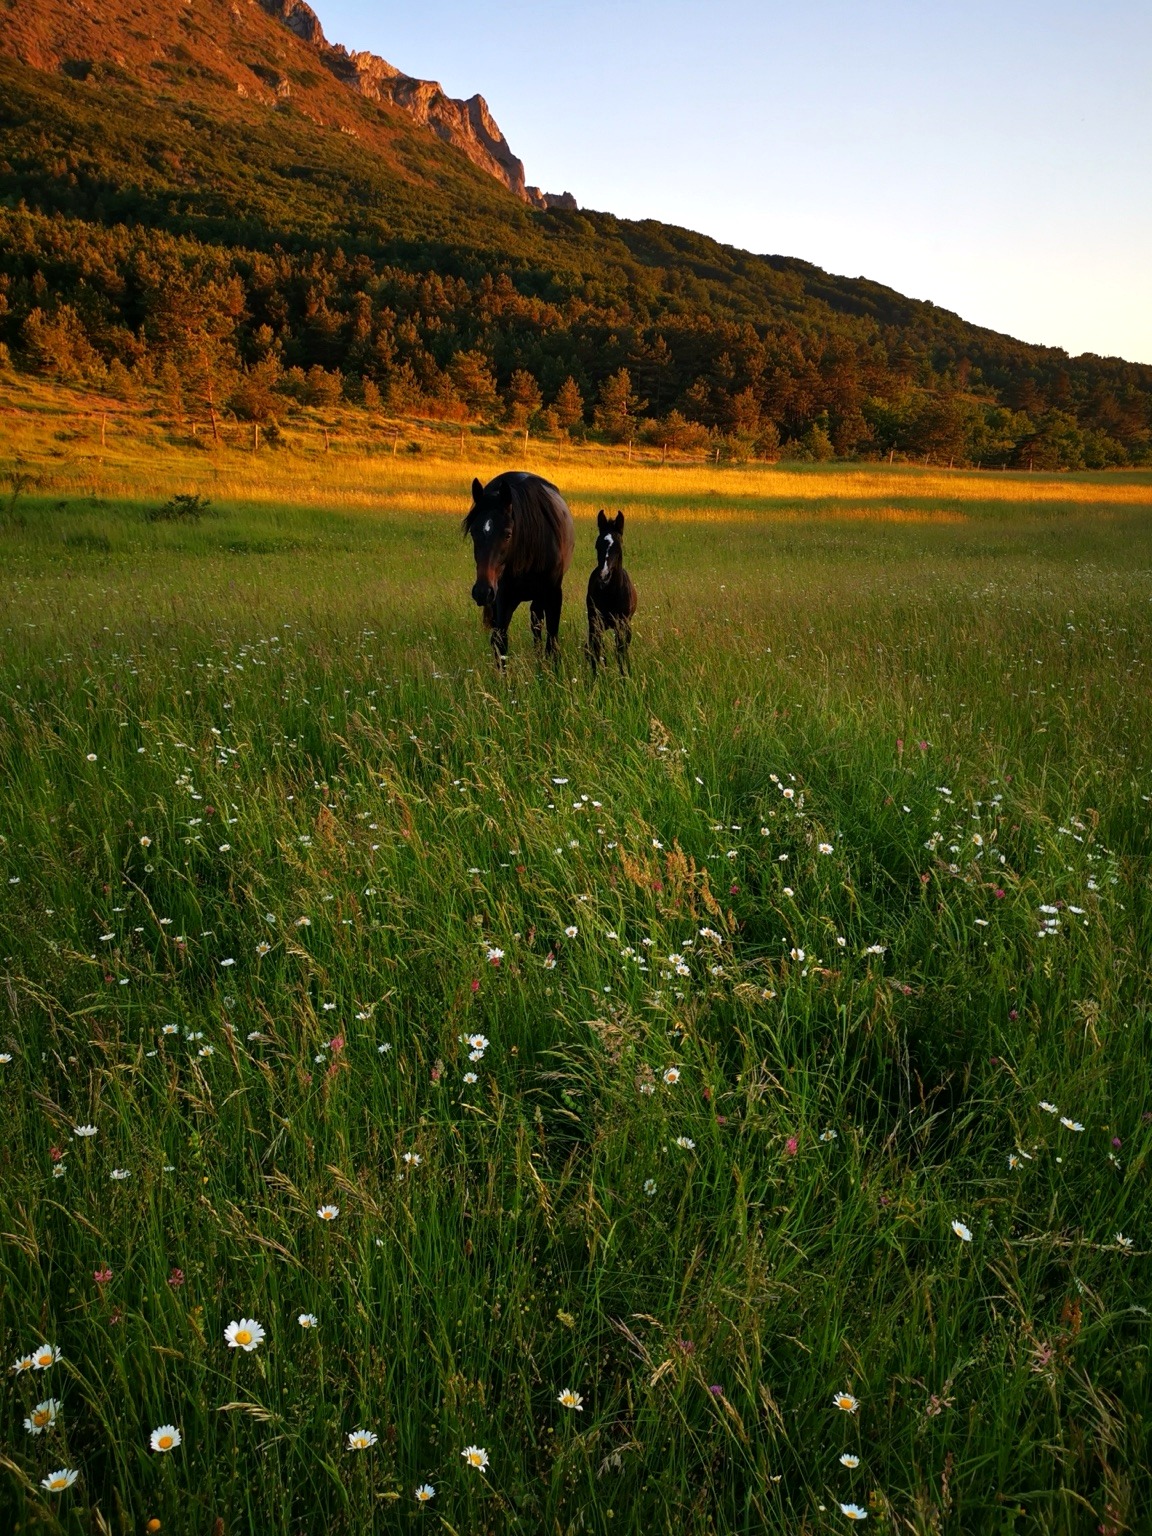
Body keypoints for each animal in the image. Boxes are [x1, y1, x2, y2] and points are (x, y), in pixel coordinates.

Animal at [463, 472, 575, 665]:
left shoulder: (553, 594)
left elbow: (551, 642)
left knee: (536, 621)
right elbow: (500, 644)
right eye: (473, 532)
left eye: (508, 534)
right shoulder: (503, 598)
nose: (482, 591)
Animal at [586, 509, 637, 674]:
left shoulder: (623, 625)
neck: (611, 594)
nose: (604, 575)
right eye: (597, 545)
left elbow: (621, 652)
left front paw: (625, 677)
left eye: (619, 545)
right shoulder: (596, 623)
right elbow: (596, 651)